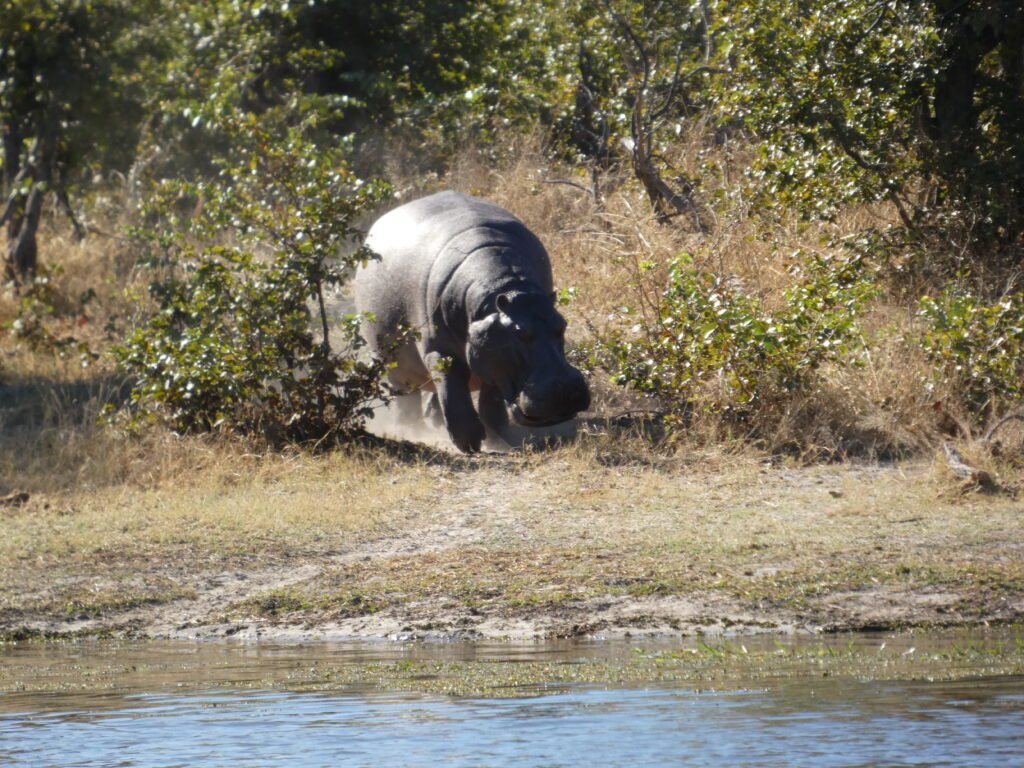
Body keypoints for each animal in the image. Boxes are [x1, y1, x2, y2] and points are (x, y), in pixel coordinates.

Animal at [354, 191, 590, 452]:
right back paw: (408, 428)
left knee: (434, 393)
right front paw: (470, 443)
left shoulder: (493, 360)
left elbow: (491, 403)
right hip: (391, 363)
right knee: (408, 396)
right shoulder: (440, 350)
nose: (565, 390)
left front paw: (499, 439)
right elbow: (453, 390)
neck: (508, 287)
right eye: (520, 333)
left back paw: (434, 423)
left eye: (562, 325)